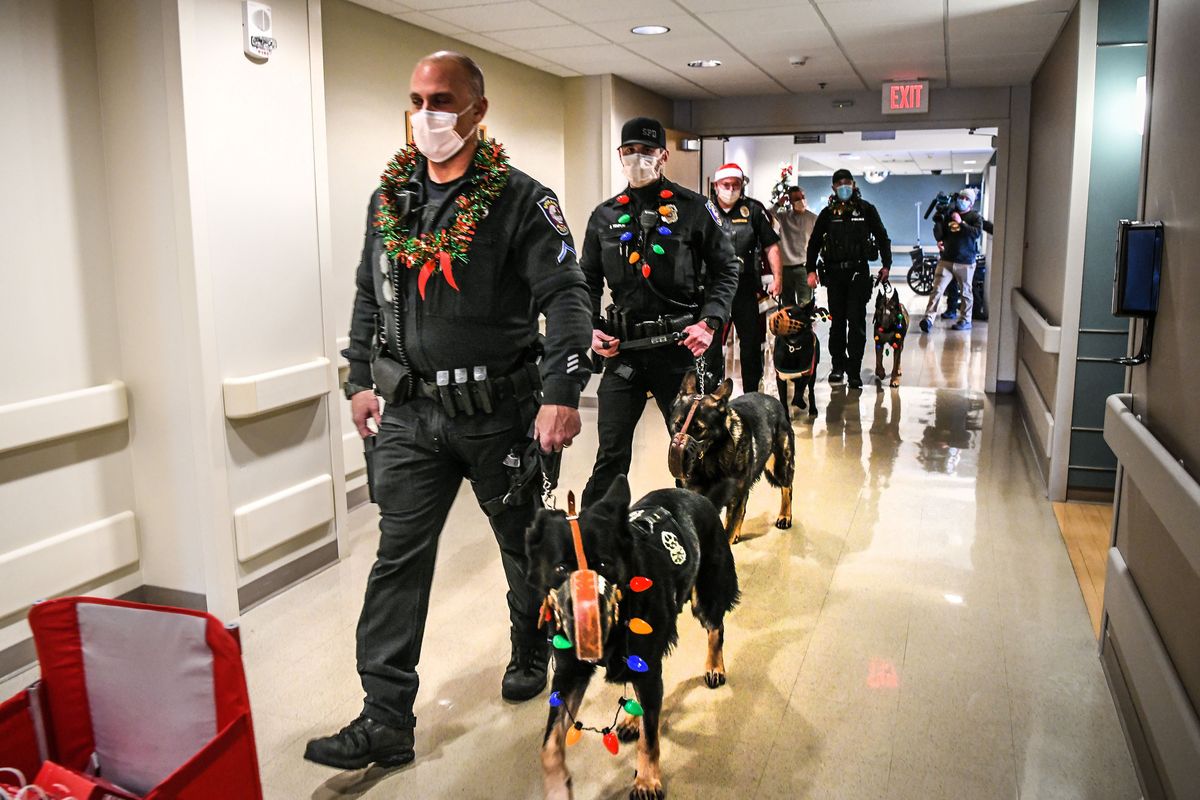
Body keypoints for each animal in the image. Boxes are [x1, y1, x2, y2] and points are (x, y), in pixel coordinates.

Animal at [528, 479, 739, 796]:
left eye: (604, 565)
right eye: (561, 569)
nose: (588, 613)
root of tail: (698, 496)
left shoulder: (648, 669)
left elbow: (650, 740)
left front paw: (647, 779)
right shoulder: (569, 674)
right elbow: (549, 746)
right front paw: (557, 788)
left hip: (706, 595)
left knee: (716, 629)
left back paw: (714, 666)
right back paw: (631, 717)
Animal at [667, 376, 796, 544]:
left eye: (700, 429)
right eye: (678, 425)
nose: (679, 456)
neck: (712, 460)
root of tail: (774, 400)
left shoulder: (734, 499)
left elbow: (728, 528)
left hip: (780, 466)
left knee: (787, 488)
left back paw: (785, 515)